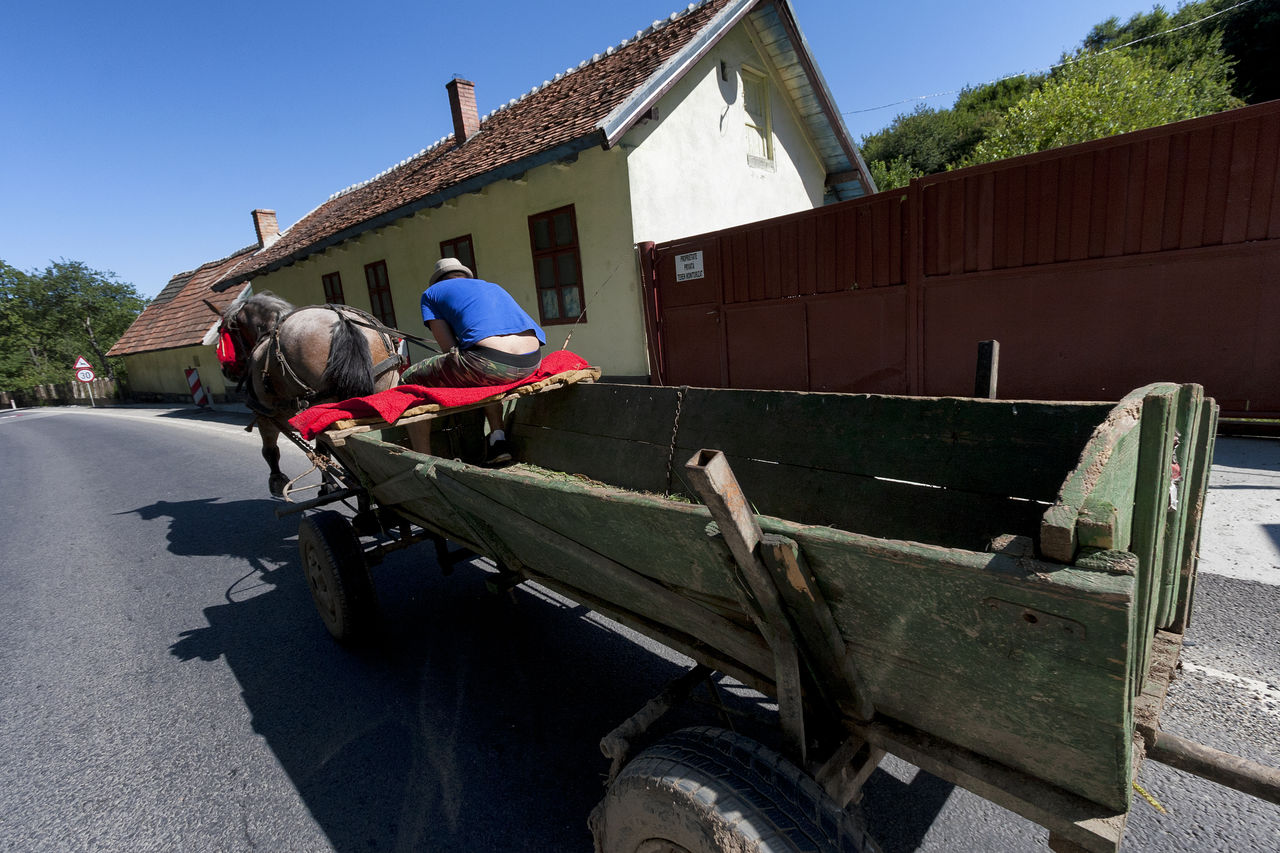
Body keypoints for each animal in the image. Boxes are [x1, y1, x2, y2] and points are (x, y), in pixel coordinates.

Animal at [217, 290, 401, 494]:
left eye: (226, 333)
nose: (226, 370)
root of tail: (342, 319)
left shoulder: (264, 414)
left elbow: (270, 450)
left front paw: (277, 480)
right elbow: (322, 452)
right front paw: (328, 484)